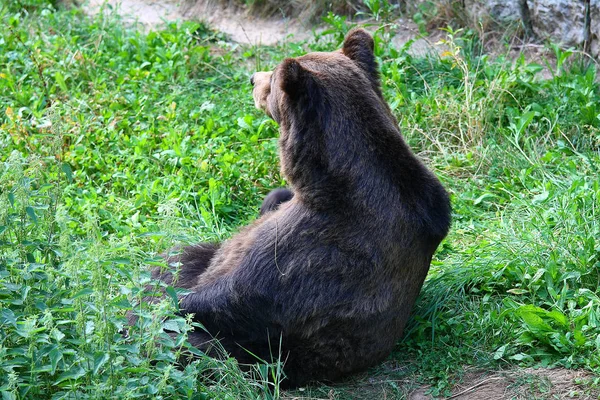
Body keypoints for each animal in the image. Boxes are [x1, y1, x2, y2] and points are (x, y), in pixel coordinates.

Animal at [131, 27, 450, 388]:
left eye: (271, 80)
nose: (252, 78)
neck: (321, 179)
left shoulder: (315, 246)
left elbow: (233, 294)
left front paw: (155, 305)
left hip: (266, 355)